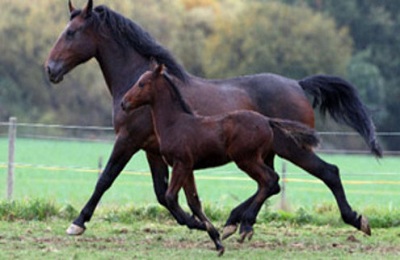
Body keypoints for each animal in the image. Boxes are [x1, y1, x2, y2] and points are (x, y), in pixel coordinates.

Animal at [120, 64, 320, 255]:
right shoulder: (188, 167)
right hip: (255, 159)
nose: (123, 103)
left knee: (270, 180)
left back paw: (245, 226)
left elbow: (170, 197)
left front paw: (201, 227)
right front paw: (216, 240)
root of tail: (267, 121)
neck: (175, 123)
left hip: (246, 159)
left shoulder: (180, 164)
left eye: (142, 84)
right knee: (271, 181)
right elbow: (194, 202)